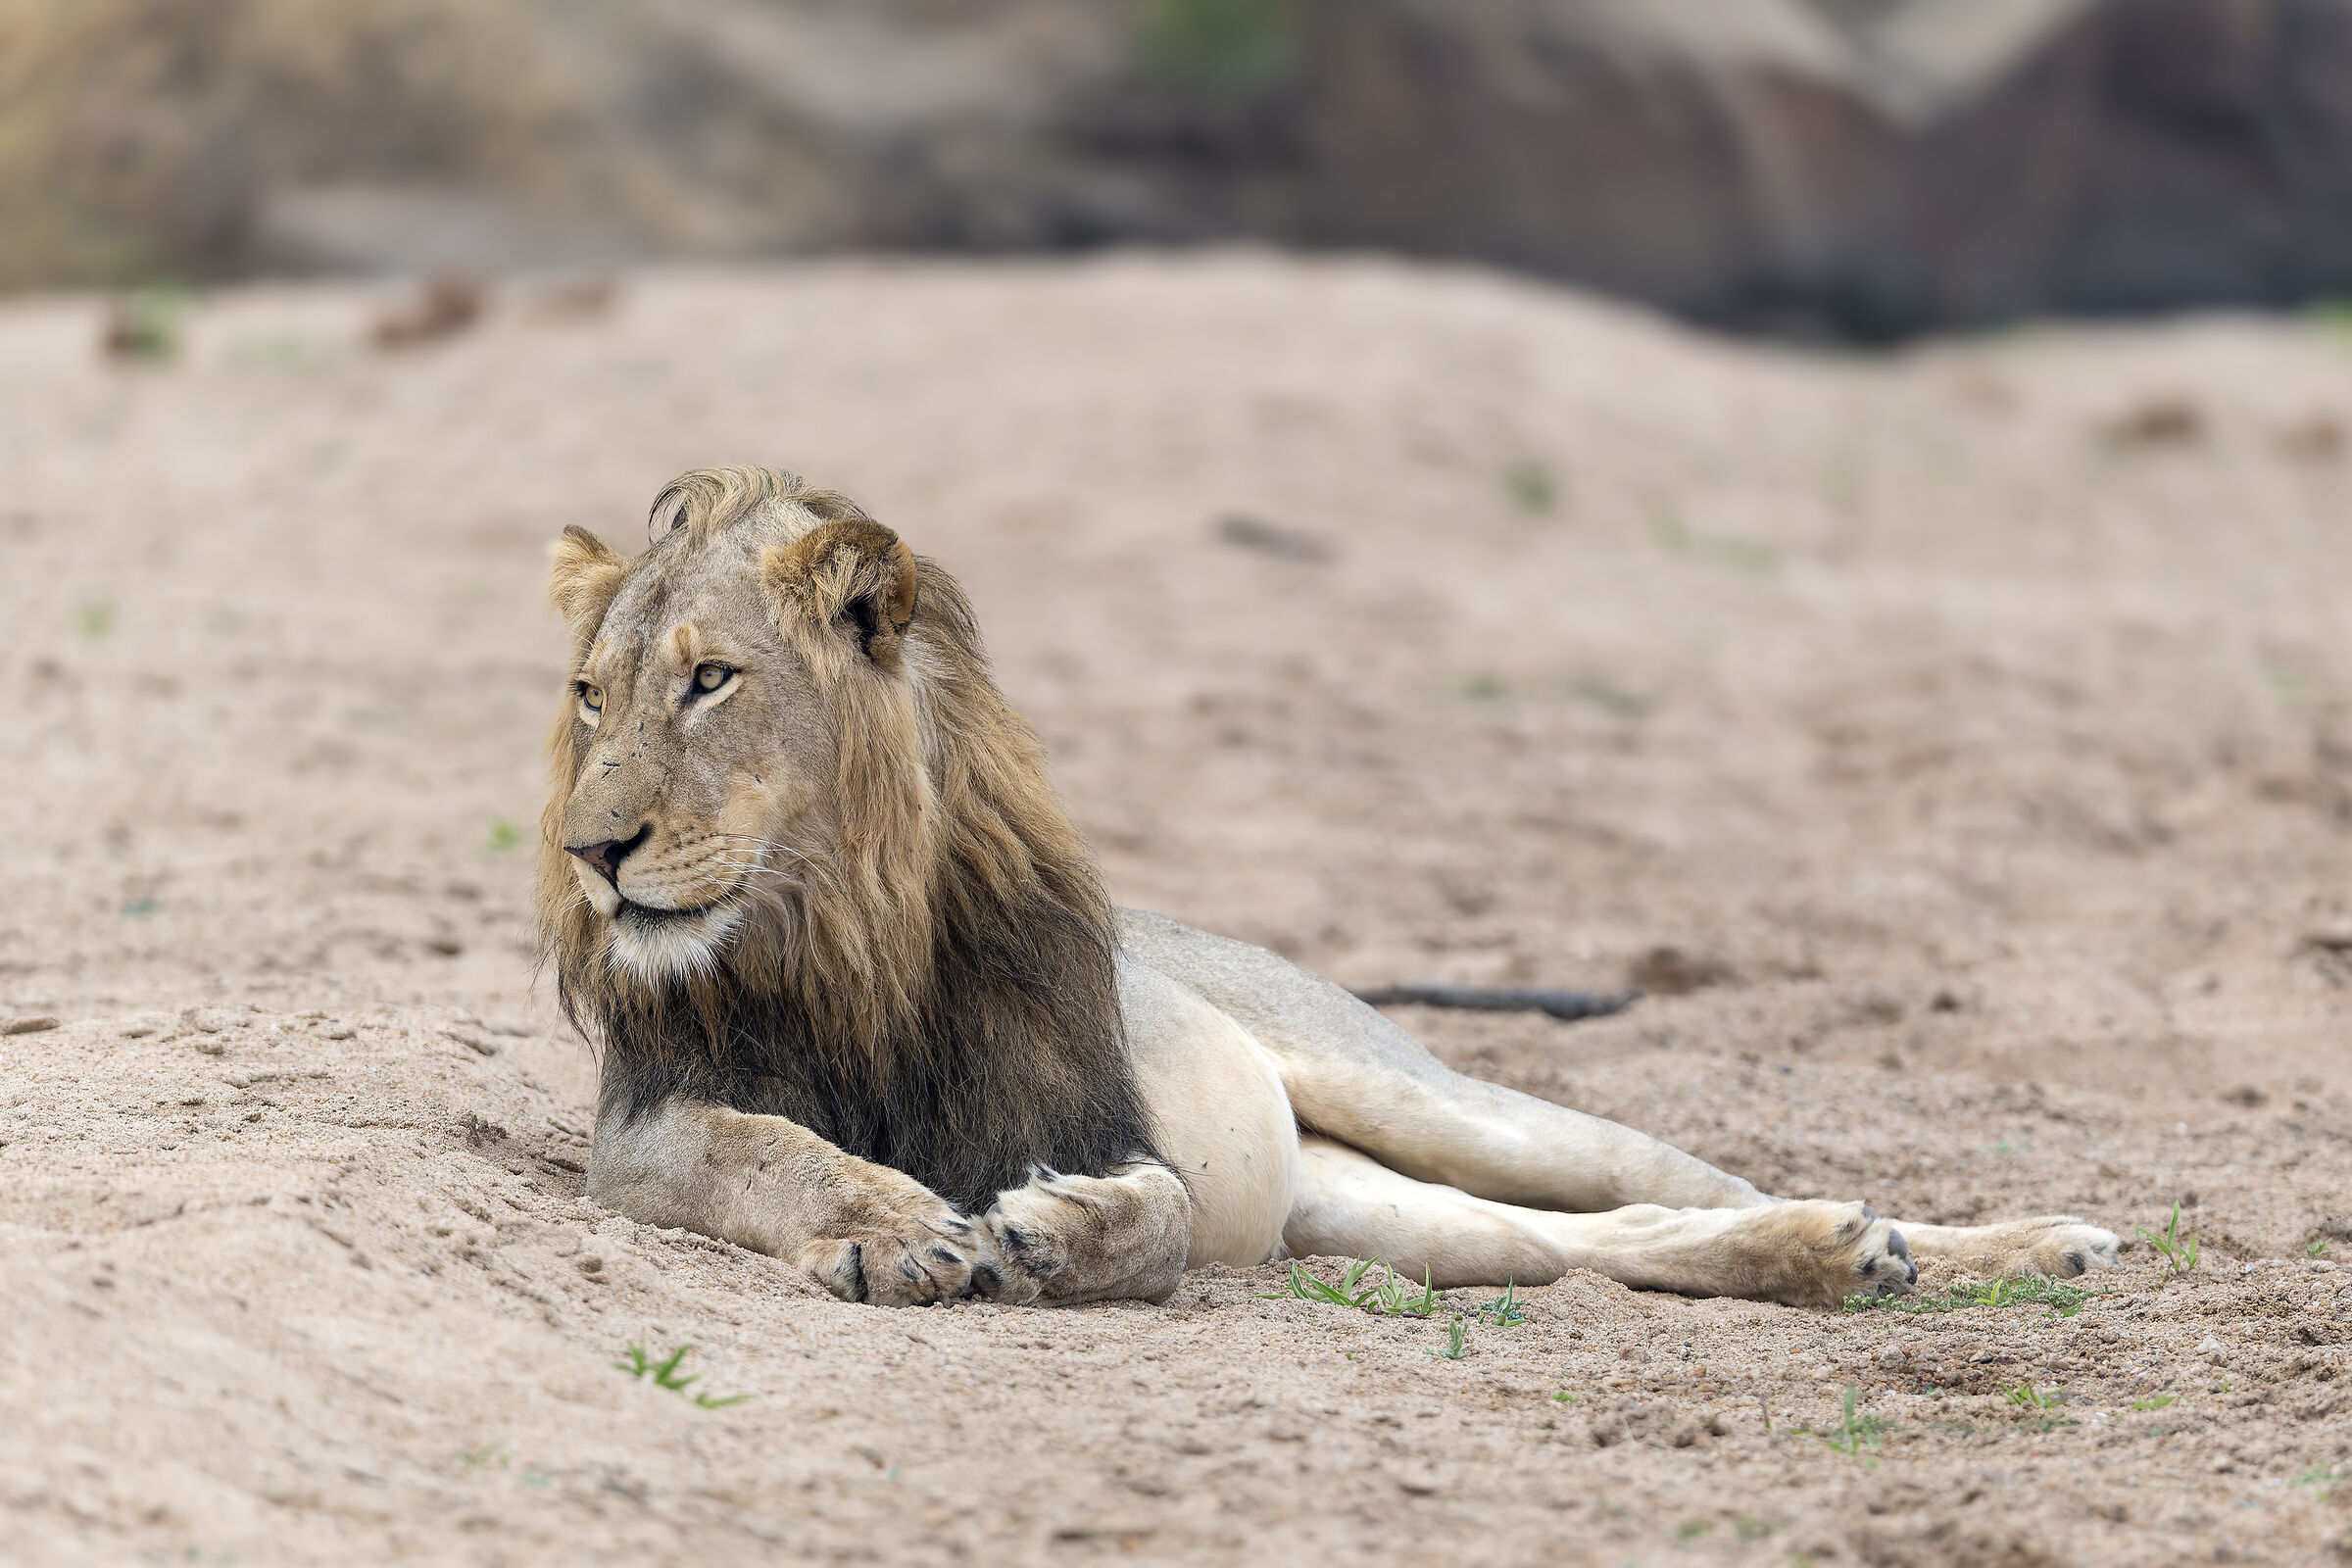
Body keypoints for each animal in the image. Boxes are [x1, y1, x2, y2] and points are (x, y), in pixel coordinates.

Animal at [539, 465, 2120, 1309]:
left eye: (711, 680)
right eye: (589, 696)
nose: (591, 854)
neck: (837, 927)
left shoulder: (1090, 1108)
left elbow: (1162, 1211)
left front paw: (1050, 1233)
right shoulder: (646, 1124)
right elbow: (772, 1152)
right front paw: (894, 1225)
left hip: (1444, 1100)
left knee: (1669, 1177)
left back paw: (2020, 1242)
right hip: (1379, 1215)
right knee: (1595, 1244)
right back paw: (1839, 1257)